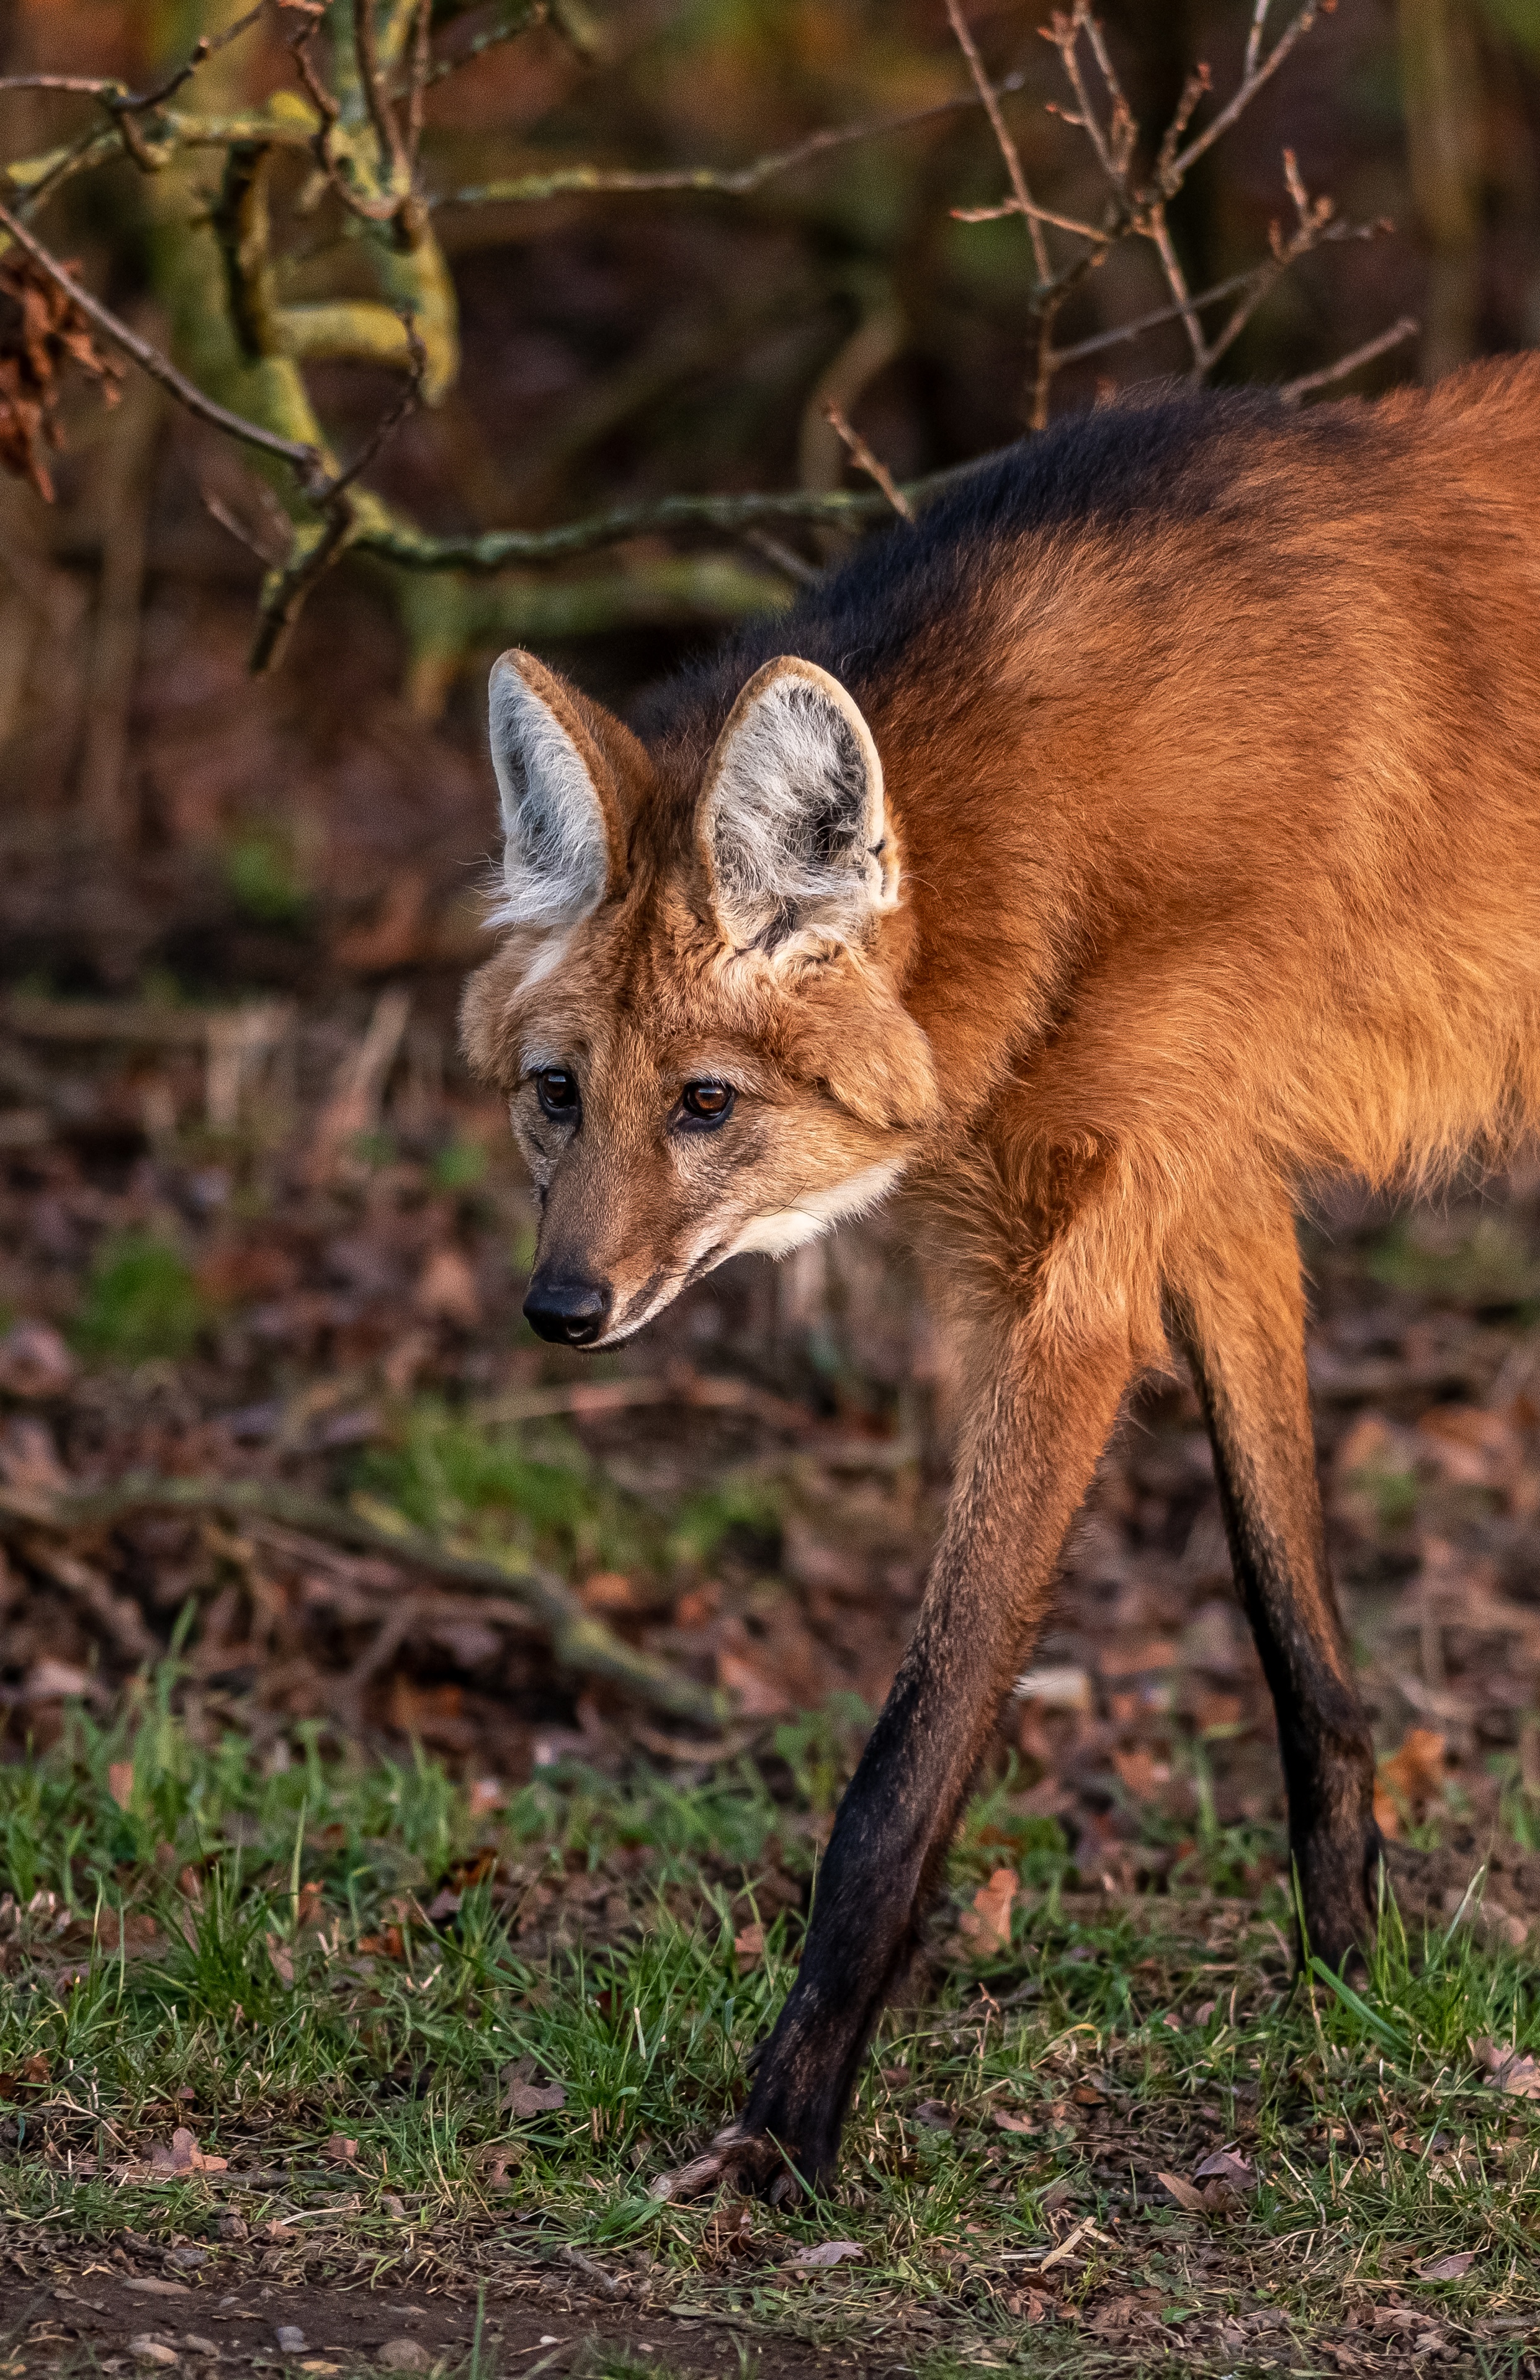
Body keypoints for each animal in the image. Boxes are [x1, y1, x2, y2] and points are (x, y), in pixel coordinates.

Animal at [462, 355, 1540, 2199]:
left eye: (705, 1103)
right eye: (558, 1096)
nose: (561, 1310)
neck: (1069, 839)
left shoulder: (1086, 1286)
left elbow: (910, 1754)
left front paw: (783, 2128)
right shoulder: (1213, 1192)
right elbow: (1298, 1641)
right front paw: (1351, 1988)